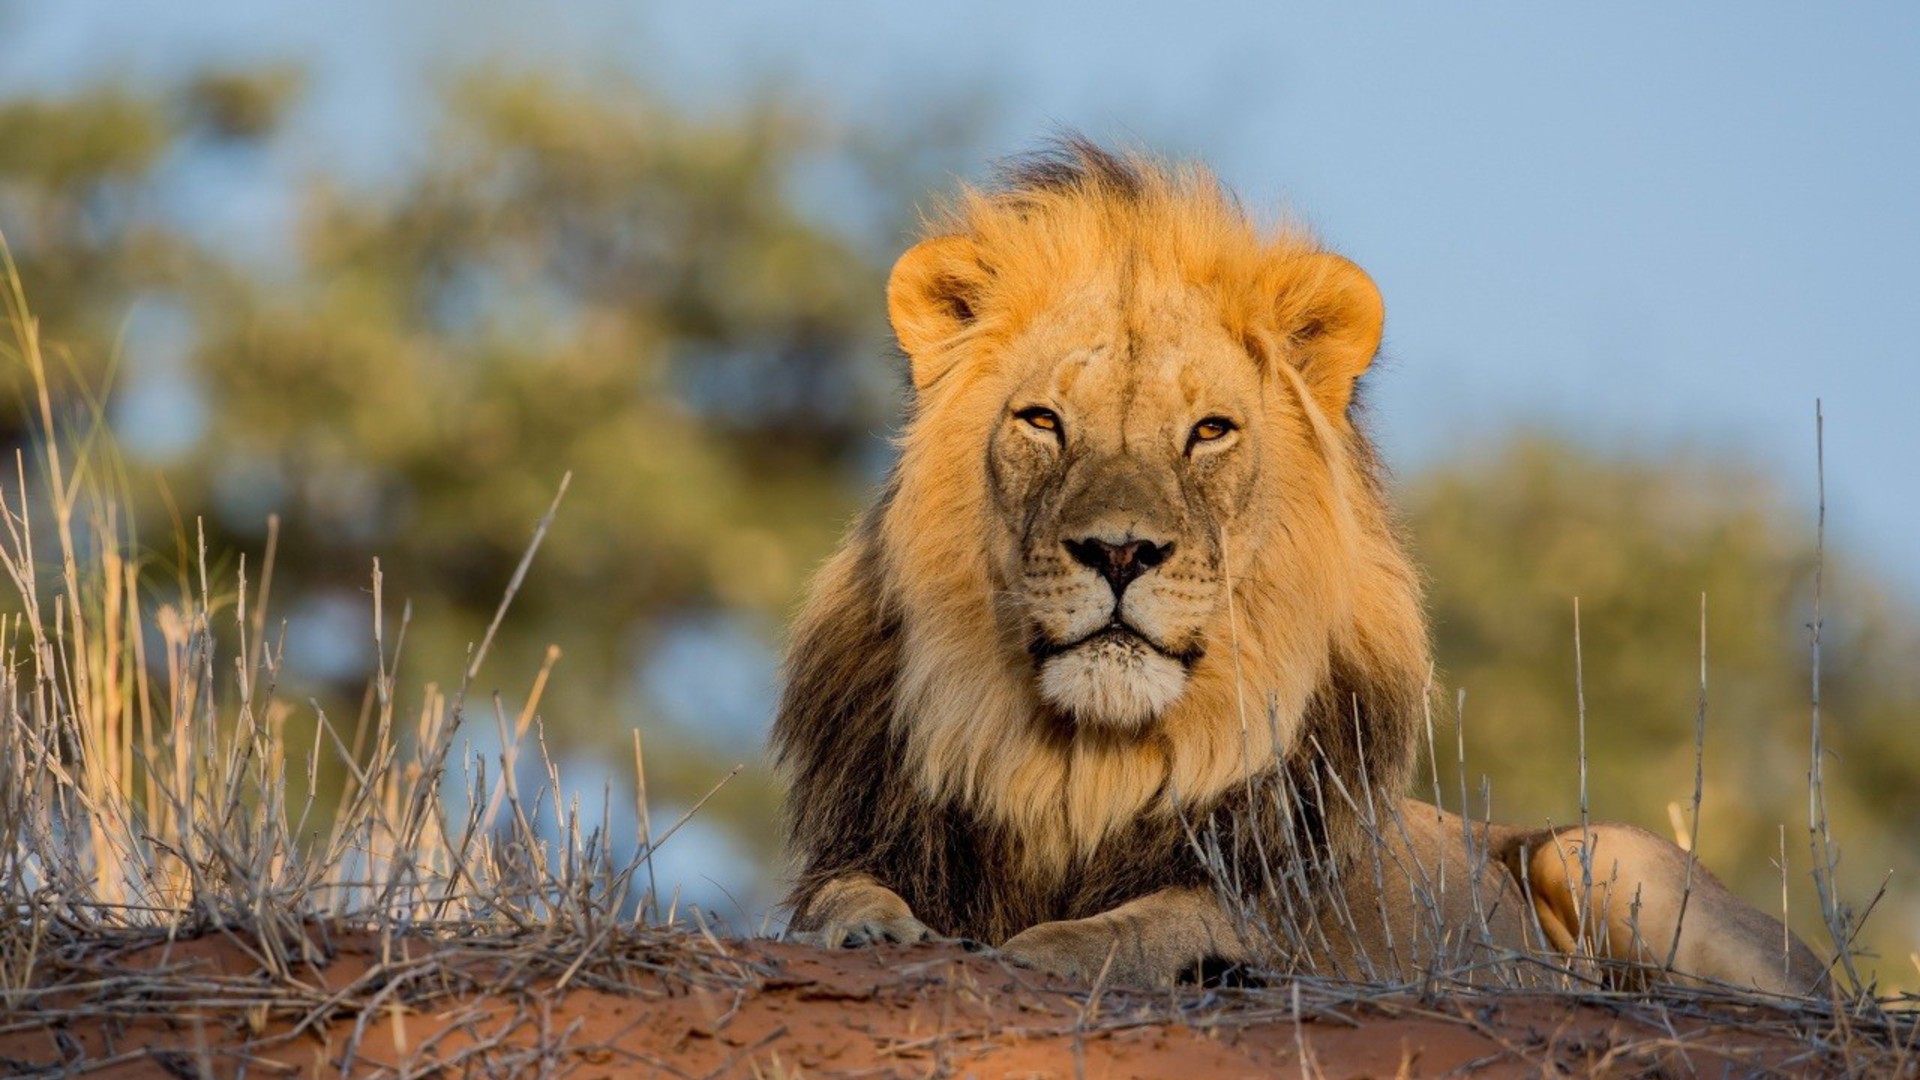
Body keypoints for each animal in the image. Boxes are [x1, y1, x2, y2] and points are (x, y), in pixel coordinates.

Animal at [768, 136, 1827, 991]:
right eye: (1042, 422)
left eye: (1209, 431)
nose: (1119, 550)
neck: (1083, 772)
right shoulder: (863, 842)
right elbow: (834, 898)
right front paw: (875, 931)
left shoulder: (1285, 912)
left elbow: (1146, 924)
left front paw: (1046, 947)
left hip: (1601, 855)